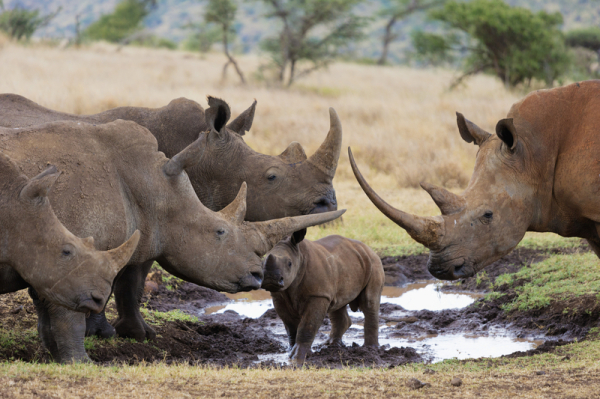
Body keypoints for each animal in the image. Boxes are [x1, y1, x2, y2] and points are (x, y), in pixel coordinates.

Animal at [262, 228, 384, 366]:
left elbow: (307, 325)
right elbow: (290, 326)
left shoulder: (318, 295)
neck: (299, 254)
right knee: (337, 304)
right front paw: (290, 352)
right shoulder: (278, 296)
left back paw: (370, 349)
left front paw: (298, 357)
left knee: (369, 303)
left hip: (373, 263)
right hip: (343, 265)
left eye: (289, 263)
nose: (270, 279)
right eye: (263, 261)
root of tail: (368, 249)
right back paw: (331, 345)